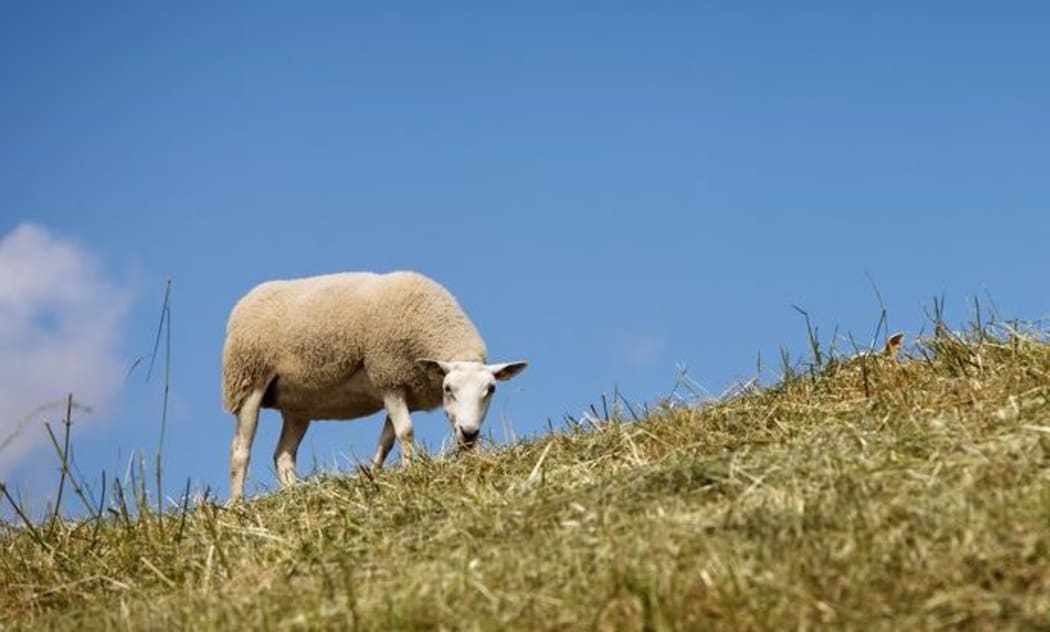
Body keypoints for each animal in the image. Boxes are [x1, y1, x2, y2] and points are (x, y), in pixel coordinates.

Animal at [222, 270, 527, 501]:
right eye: (448, 389)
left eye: (491, 390)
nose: (469, 433)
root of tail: (246, 300)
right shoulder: (389, 377)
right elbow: (406, 432)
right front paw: (410, 470)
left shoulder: (403, 390)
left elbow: (388, 439)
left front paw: (373, 474)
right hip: (248, 380)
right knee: (240, 451)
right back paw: (238, 505)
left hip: (298, 405)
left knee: (283, 455)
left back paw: (294, 495)